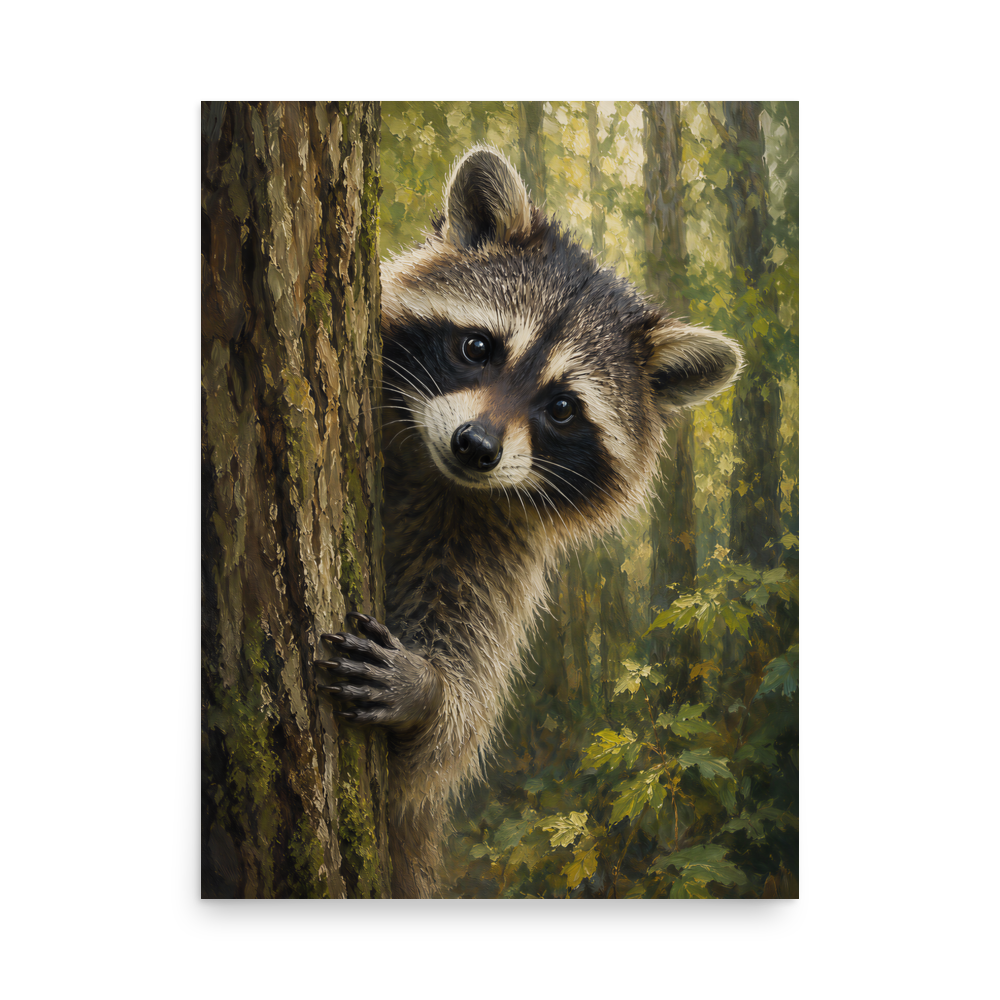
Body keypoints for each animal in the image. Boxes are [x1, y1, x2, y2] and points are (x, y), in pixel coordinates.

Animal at [316, 145, 744, 898]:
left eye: (563, 408)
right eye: (478, 348)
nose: (476, 447)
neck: (436, 474)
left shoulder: (494, 550)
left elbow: (445, 740)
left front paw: (431, 693)